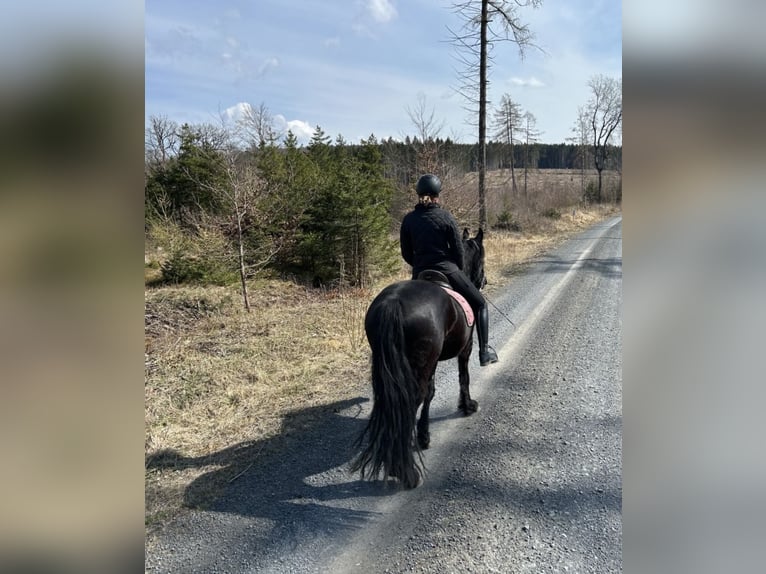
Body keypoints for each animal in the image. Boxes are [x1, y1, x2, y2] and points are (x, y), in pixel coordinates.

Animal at [351, 228, 487, 489]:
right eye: (482, 258)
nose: (483, 281)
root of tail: (393, 303)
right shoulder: (465, 348)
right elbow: (462, 377)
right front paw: (467, 405)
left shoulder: (430, 363)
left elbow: (431, 393)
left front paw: (424, 435)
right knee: (410, 402)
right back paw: (405, 472)